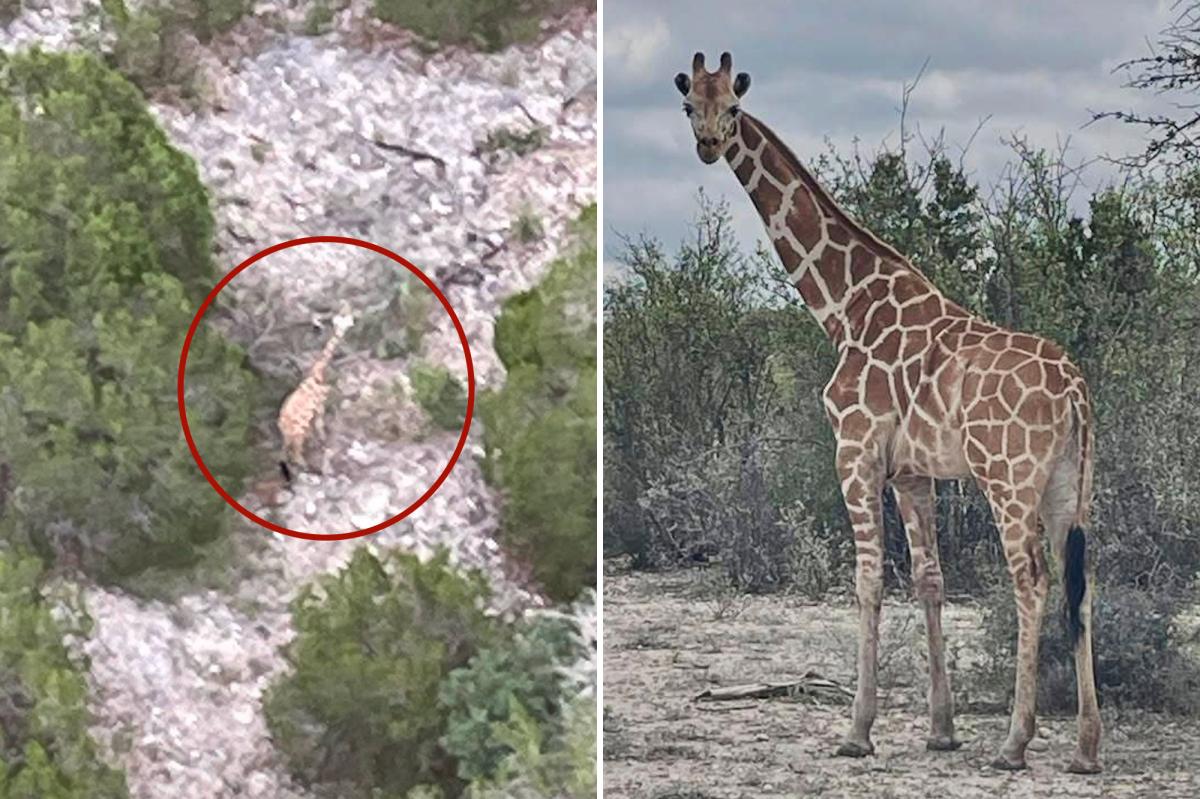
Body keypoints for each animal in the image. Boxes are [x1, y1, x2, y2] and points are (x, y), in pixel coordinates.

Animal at [278, 307, 355, 480]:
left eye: (347, 321)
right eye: (342, 322)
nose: (344, 332)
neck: (317, 374)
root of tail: (281, 423)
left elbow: (315, 427)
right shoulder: (320, 403)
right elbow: (320, 425)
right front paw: (323, 440)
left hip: (290, 435)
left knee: (287, 452)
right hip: (296, 433)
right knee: (296, 453)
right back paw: (304, 468)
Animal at [673, 52, 1101, 774]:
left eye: (732, 106)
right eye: (688, 106)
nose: (707, 145)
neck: (844, 306)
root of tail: (1074, 389)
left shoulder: (855, 450)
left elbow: (869, 579)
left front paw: (857, 729)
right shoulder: (912, 471)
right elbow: (930, 579)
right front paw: (941, 728)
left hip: (1008, 478)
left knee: (1032, 580)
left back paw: (1015, 742)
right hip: (1070, 482)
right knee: (1081, 581)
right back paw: (1087, 747)